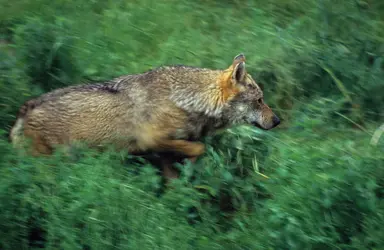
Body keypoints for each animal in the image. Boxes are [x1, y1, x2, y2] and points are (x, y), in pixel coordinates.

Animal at [9, 53, 280, 173]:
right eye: (259, 100)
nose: (278, 120)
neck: (186, 100)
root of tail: (23, 110)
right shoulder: (152, 141)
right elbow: (199, 148)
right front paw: (191, 167)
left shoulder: (166, 152)